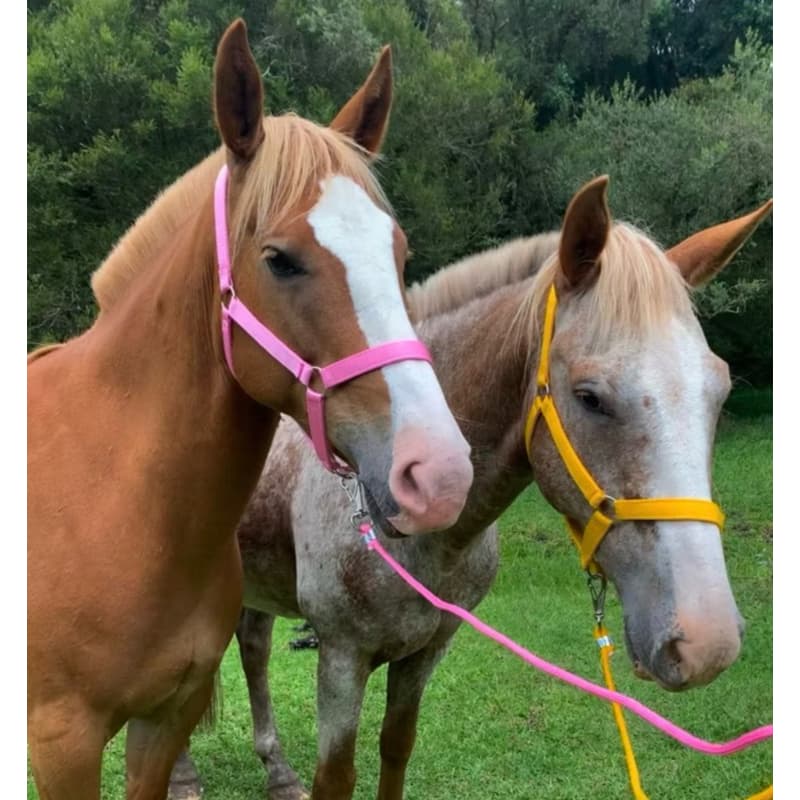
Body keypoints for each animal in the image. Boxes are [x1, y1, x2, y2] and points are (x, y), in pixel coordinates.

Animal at [27, 20, 474, 799]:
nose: (440, 473)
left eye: (398, 250)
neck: (112, 497)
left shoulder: (163, 720)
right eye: (279, 259)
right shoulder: (63, 744)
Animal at [168, 176, 772, 800]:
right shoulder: (341, 655)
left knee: (254, 648)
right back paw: (184, 774)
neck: (416, 531)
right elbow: (336, 775)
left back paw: (278, 771)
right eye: (589, 397)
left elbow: (395, 749)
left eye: (720, 391)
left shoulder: (428, 650)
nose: (706, 641)